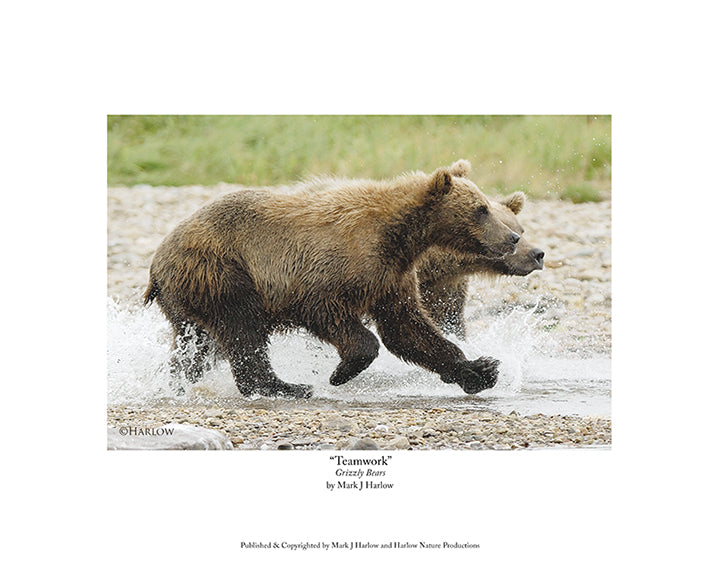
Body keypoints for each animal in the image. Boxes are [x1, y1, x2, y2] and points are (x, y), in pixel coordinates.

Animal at [144, 160, 520, 399]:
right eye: (481, 209)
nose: (513, 238)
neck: (399, 237)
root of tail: (157, 262)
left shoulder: (392, 279)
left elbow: (408, 329)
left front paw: (479, 369)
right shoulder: (326, 270)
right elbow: (332, 314)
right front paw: (341, 372)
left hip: (192, 297)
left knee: (198, 346)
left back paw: (175, 382)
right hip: (223, 271)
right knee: (242, 328)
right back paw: (287, 387)